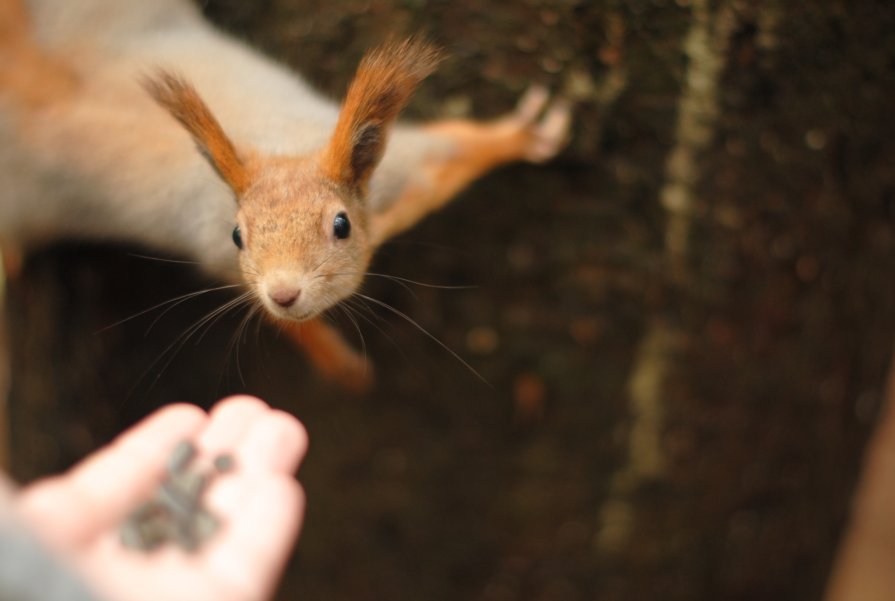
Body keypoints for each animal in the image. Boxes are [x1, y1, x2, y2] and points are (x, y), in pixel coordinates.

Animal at [0, 0, 572, 392]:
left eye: (341, 225)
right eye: (237, 234)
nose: (284, 292)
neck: (284, 146)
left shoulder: (401, 181)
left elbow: (451, 156)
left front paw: (522, 136)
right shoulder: (220, 258)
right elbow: (286, 324)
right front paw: (340, 364)